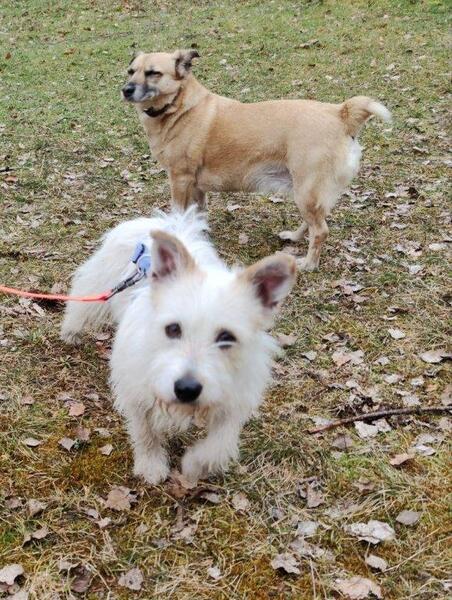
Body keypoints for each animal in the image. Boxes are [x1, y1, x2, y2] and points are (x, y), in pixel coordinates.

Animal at [61, 209, 296, 484]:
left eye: (226, 337)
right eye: (173, 329)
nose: (186, 389)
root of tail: (168, 224)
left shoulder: (233, 400)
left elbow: (219, 443)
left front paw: (195, 465)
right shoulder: (136, 393)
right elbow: (145, 433)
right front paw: (151, 464)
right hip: (98, 284)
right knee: (80, 303)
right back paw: (70, 331)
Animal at [121, 50, 391, 271]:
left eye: (153, 73)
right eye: (131, 71)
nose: (126, 89)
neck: (178, 106)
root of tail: (340, 113)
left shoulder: (180, 180)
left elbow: (179, 214)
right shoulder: (196, 186)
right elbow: (197, 216)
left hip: (306, 191)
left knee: (321, 231)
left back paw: (308, 264)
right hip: (307, 192)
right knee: (315, 222)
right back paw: (294, 237)